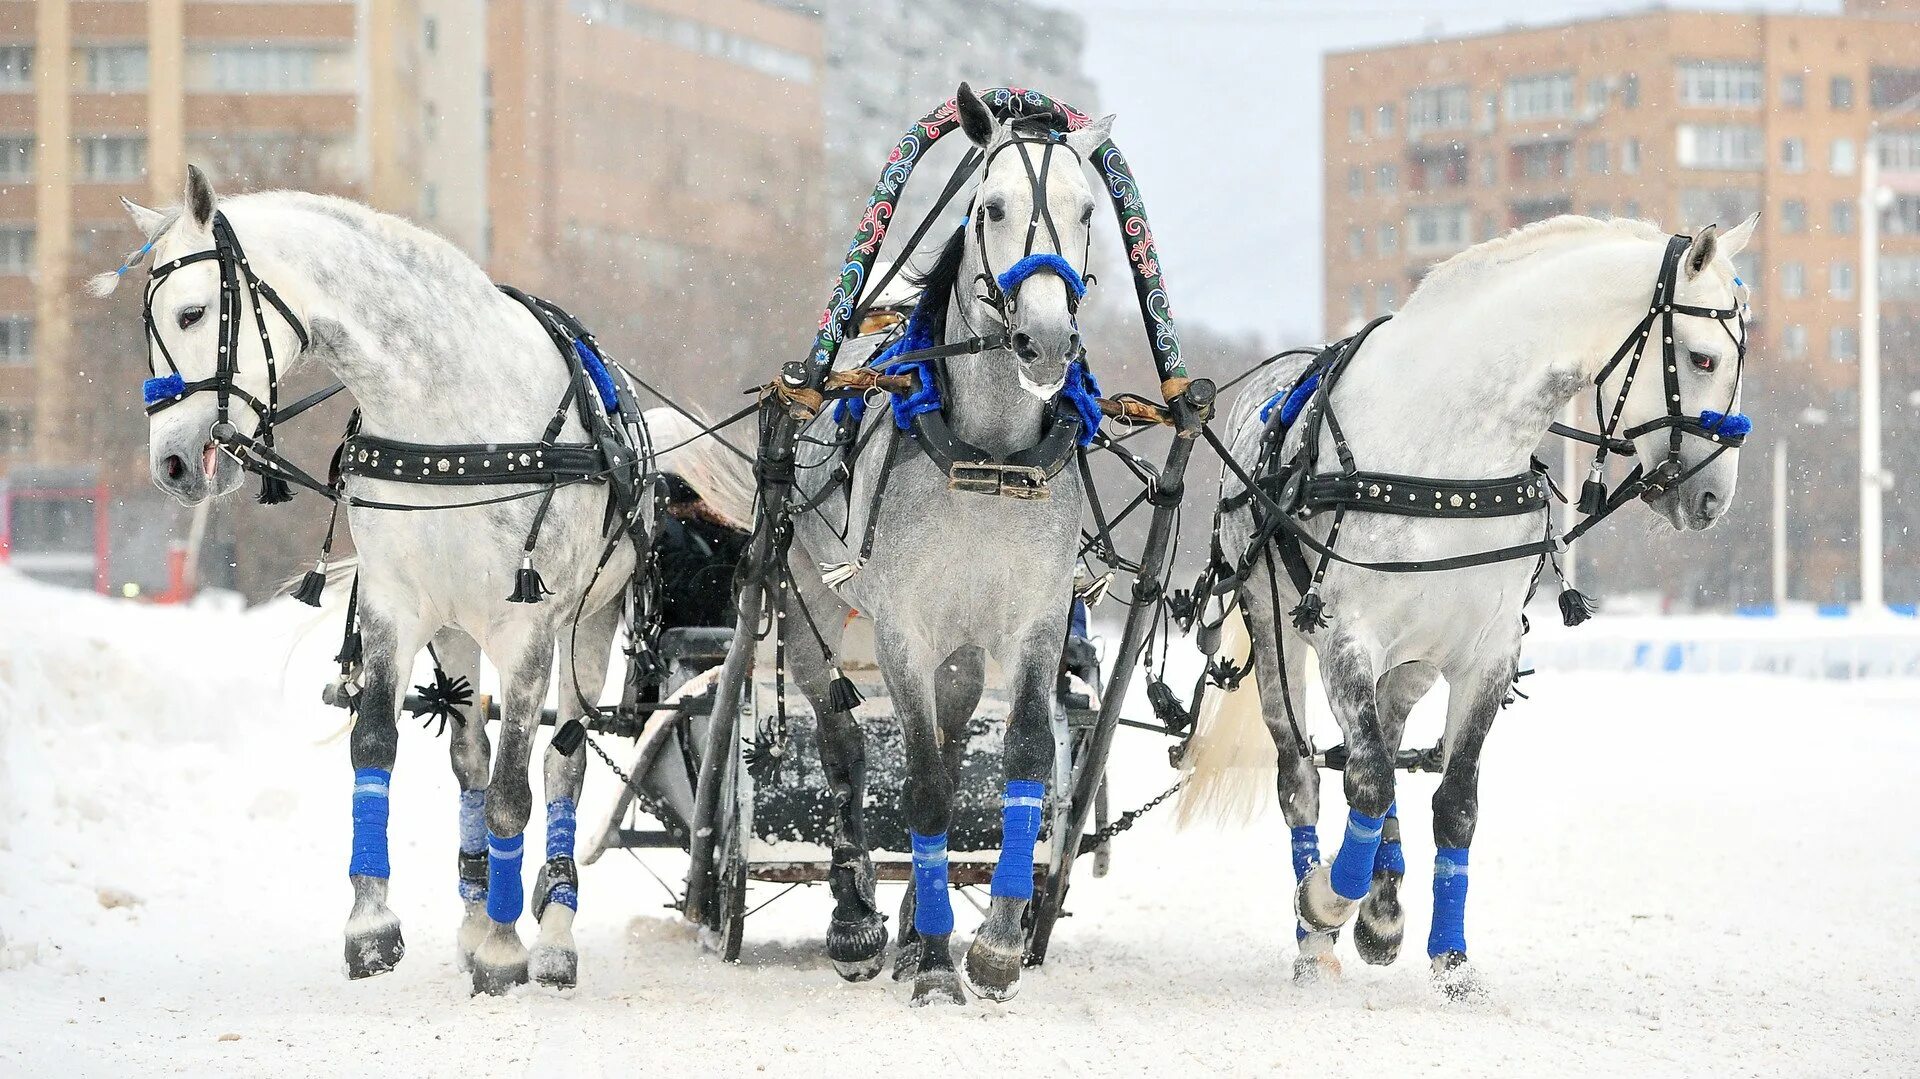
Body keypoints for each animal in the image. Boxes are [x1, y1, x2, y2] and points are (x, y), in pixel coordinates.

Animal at [97, 169, 721, 990]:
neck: (447, 413)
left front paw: (506, 947)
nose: (170, 462)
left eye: (193, 312)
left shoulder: (528, 628)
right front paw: (372, 925)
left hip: (589, 621)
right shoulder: (397, 608)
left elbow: (516, 791)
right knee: (470, 760)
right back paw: (475, 908)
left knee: (563, 761)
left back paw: (551, 931)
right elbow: (377, 747)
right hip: (456, 630)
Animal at [1190, 214, 1758, 998]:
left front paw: (1449, 958)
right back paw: (1317, 934)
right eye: (1702, 358)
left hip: (1413, 665)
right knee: (1303, 773)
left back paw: (1382, 904)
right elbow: (1367, 781)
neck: (1451, 451)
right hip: (1273, 624)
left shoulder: (1485, 653)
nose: (1710, 497)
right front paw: (1325, 900)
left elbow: (1454, 803)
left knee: (1386, 740)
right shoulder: (1345, 638)